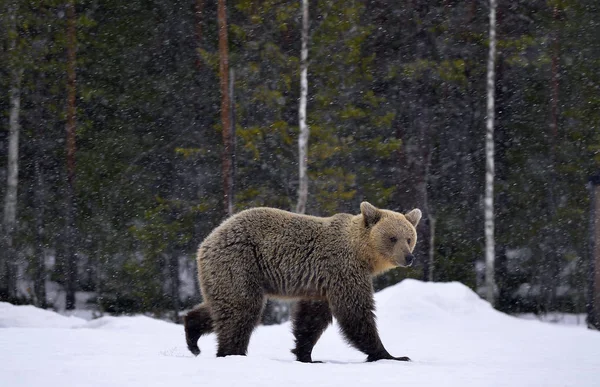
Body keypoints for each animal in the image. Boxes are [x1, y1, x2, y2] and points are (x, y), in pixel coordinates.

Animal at [184, 203, 422, 364]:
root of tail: (206, 242)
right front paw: (392, 355)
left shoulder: (320, 283)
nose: (408, 257)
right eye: (392, 238)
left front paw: (306, 354)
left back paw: (193, 336)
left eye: (409, 238)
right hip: (240, 262)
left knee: (222, 305)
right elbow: (355, 311)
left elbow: (312, 319)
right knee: (241, 308)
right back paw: (232, 352)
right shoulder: (342, 270)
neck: (362, 254)